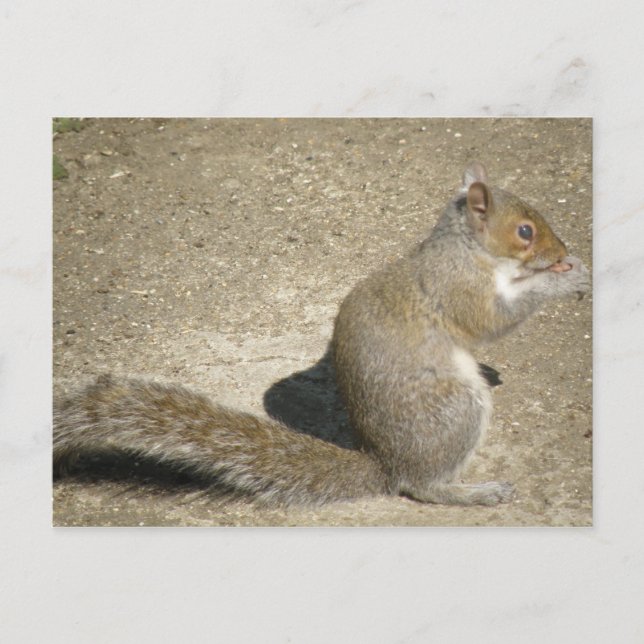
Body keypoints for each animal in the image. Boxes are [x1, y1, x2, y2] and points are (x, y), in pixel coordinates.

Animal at [53, 161, 590, 506]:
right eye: (525, 231)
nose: (563, 251)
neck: (467, 249)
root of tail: (386, 463)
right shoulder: (458, 289)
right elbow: (492, 321)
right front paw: (565, 279)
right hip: (454, 409)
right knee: (422, 487)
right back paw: (474, 492)